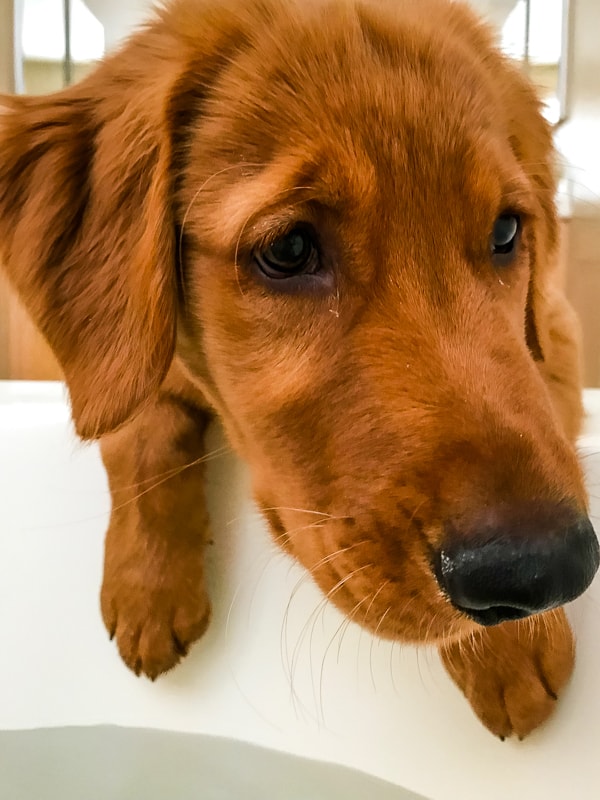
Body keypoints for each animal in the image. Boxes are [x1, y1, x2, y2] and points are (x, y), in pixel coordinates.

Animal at [1, 0, 600, 736]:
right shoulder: (120, 361)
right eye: (288, 249)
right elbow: (136, 430)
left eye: (507, 232)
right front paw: (148, 589)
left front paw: (511, 644)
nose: (542, 573)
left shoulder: (554, 330)